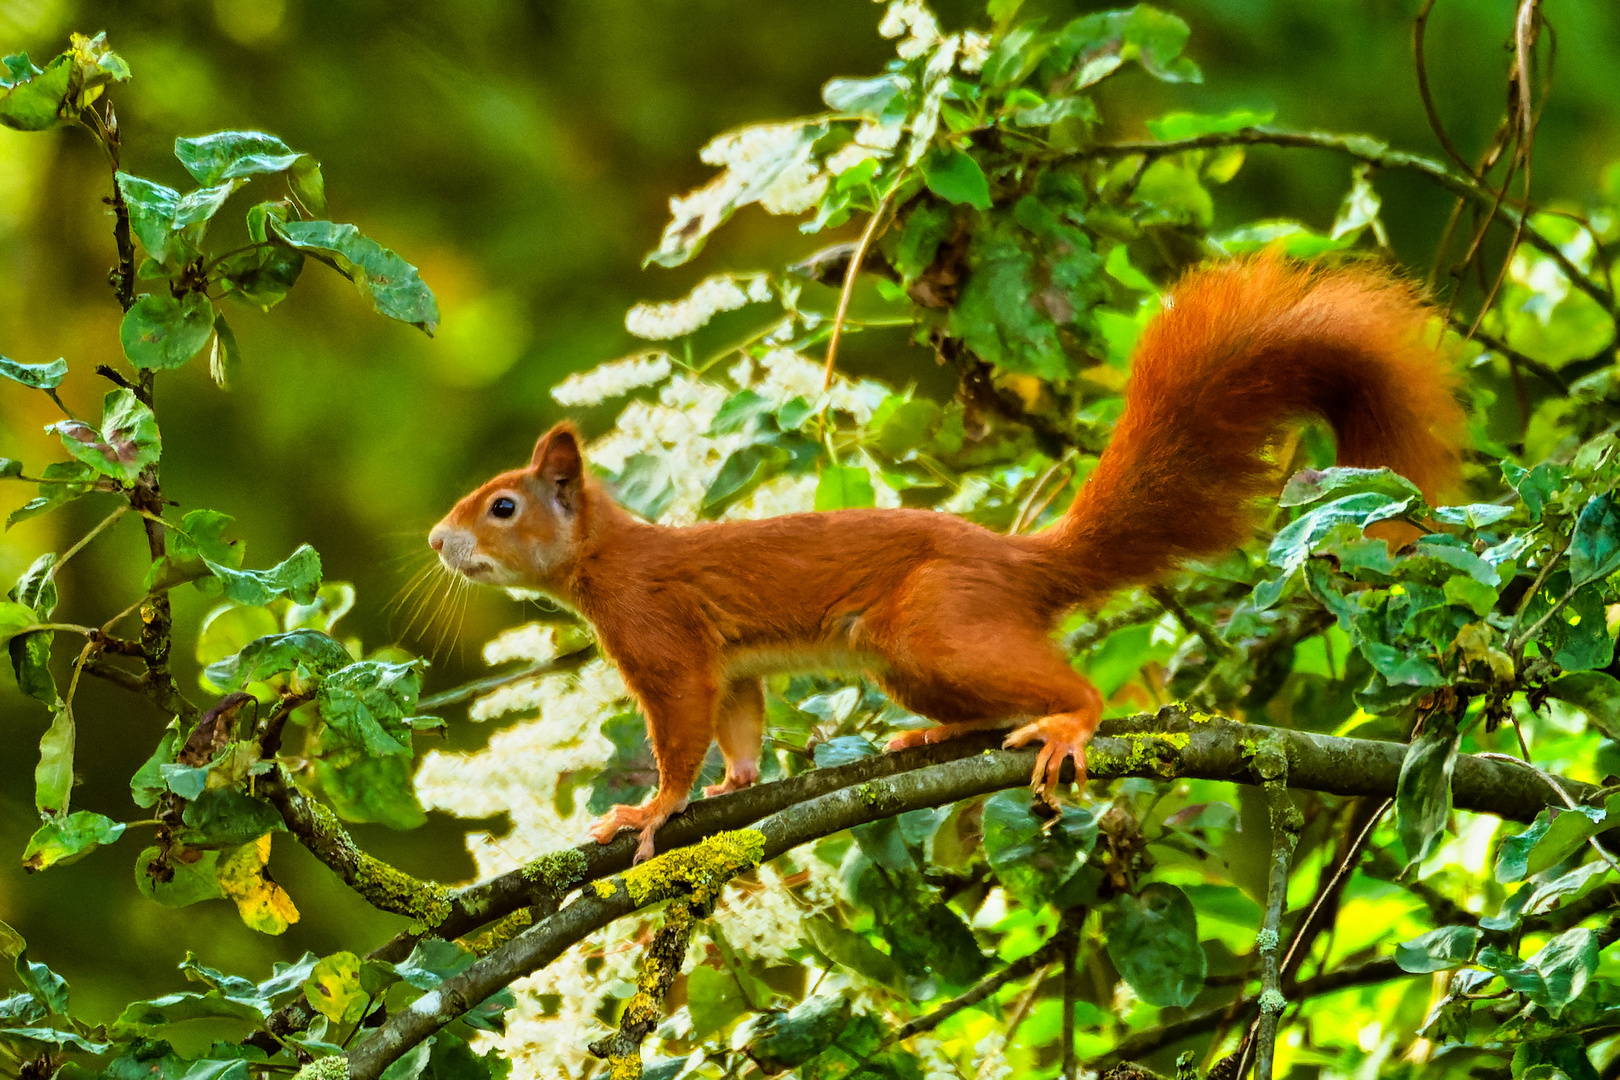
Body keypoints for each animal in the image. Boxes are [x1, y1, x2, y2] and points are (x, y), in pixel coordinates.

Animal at [427, 254, 1470, 861]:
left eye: (503, 506)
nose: (439, 540)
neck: (608, 559)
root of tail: (1017, 564)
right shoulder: (728, 665)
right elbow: (741, 720)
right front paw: (734, 786)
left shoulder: (662, 636)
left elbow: (680, 730)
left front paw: (650, 812)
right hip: (911, 659)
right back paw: (935, 739)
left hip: (931, 628)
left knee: (1073, 686)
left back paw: (1068, 724)